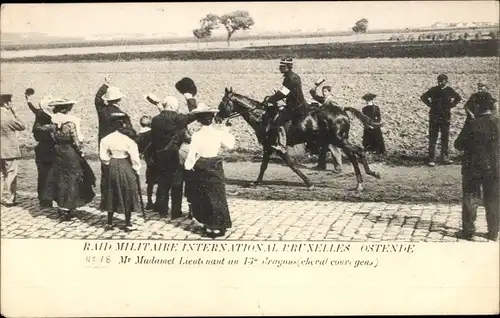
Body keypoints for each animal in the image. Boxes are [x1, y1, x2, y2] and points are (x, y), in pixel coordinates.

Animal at [216, 87, 382, 191]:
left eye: (222, 102)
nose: (216, 118)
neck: (263, 117)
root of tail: (341, 110)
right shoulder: (268, 147)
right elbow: (264, 166)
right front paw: (256, 182)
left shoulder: (274, 147)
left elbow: (291, 164)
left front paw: (309, 183)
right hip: (339, 140)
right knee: (353, 155)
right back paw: (360, 183)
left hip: (339, 140)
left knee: (359, 151)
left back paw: (370, 175)